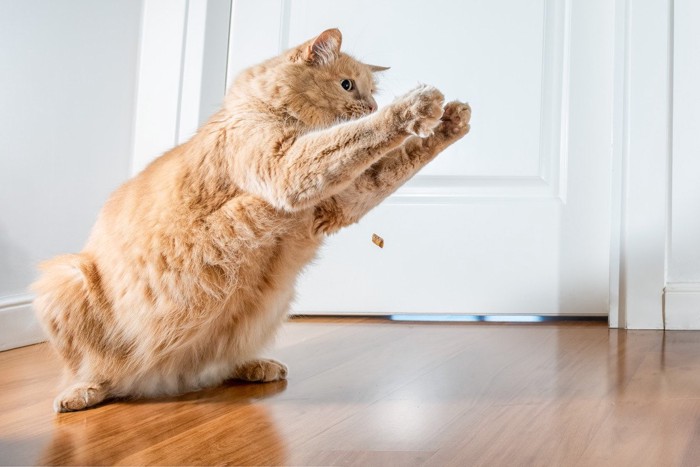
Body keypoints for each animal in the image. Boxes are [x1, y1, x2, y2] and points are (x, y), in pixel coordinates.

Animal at [31, 28, 470, 414]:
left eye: (371, 92)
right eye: (347, 85)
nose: (373, 107)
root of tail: (163, 380)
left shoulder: (339, 201)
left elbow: (391, 162)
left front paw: (451, 121)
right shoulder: (289, 172)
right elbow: (353, 140)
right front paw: (412, 108)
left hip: (273, 304)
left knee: (219, 364)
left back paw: (255, 366)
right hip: (65, 277)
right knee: (96, 371)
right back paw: (81, 392)